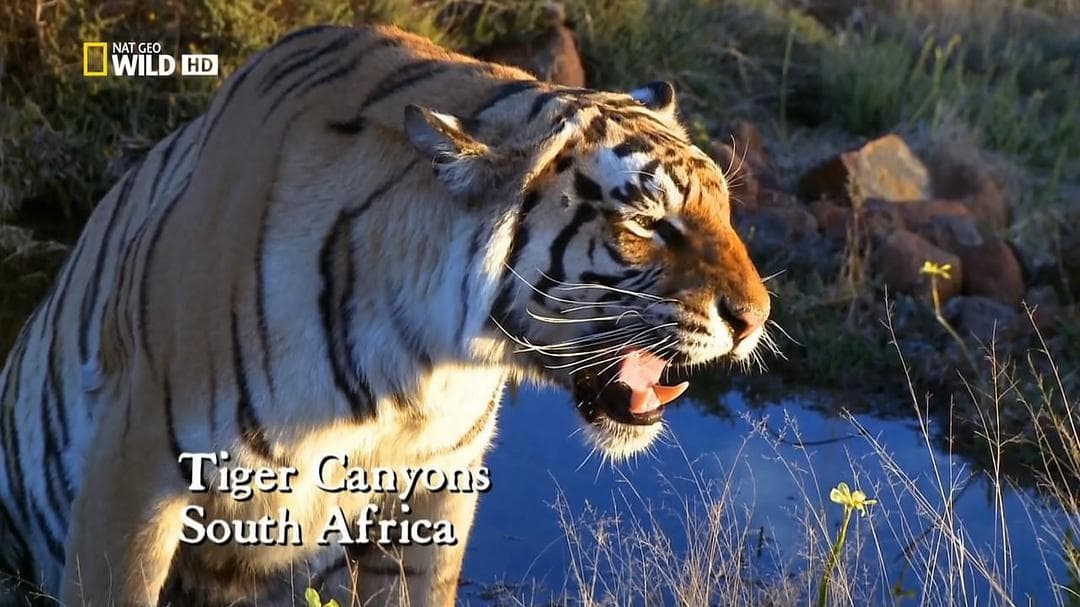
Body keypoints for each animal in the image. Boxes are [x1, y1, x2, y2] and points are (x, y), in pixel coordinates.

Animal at [0, 23, 771, 607]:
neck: (423, 365)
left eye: (725, 211)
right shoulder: (139, 469)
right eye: (648, 222)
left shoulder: (434, 493)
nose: (755, 318)